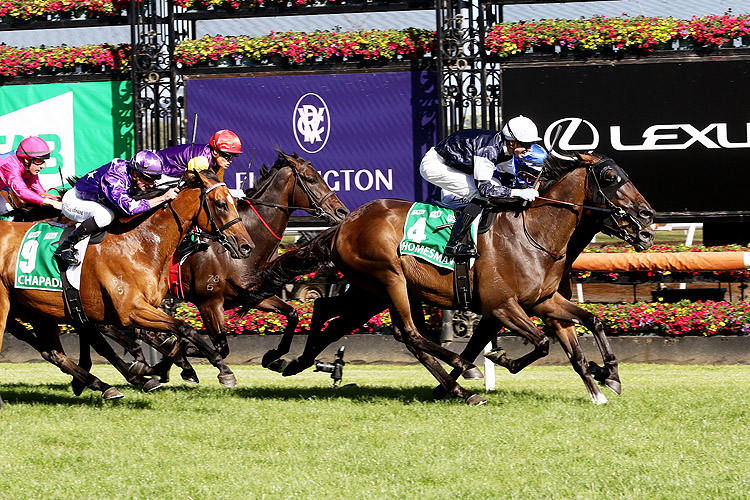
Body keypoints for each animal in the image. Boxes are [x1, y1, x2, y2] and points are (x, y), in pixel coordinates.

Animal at [0, 170, 254, 400]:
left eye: (235, 202)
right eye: (221, 204)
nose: (246, 246)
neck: (139, 243)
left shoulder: (149, 306)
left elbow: (177, 335)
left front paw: (162, 369)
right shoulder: (131, 310)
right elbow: (185, 329)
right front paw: (222, 369)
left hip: (38, 310)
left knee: (53, 352)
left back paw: (105, 384)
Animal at [258, 152, 652, 406]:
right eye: (611, 178)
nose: (647, 217)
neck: (533, 234)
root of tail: (346, 222)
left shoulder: (544, 300)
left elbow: (589, 324)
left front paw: (605, 380)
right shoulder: (500, 306)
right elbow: (540, 343)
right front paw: (503, 360)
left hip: (372, 291)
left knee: (330, 309)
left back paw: (290, 360)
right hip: (389, 279)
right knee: (409, 333)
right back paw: (466, 378)